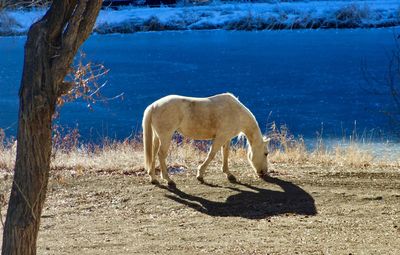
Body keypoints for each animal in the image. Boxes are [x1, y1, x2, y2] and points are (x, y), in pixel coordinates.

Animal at [142, 92, 270, 186]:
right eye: (266, 153)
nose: (264, 172)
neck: (235, 112)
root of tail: (153, 106)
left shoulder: (226, 138)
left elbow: (225, 154)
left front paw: (228, 174)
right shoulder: (220, 137)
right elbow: (211, 155)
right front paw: (200, 175)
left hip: (157, 137)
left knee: (153, 153)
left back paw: (153, 178)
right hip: (166, 136)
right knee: (161, 154)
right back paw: (168, 179)